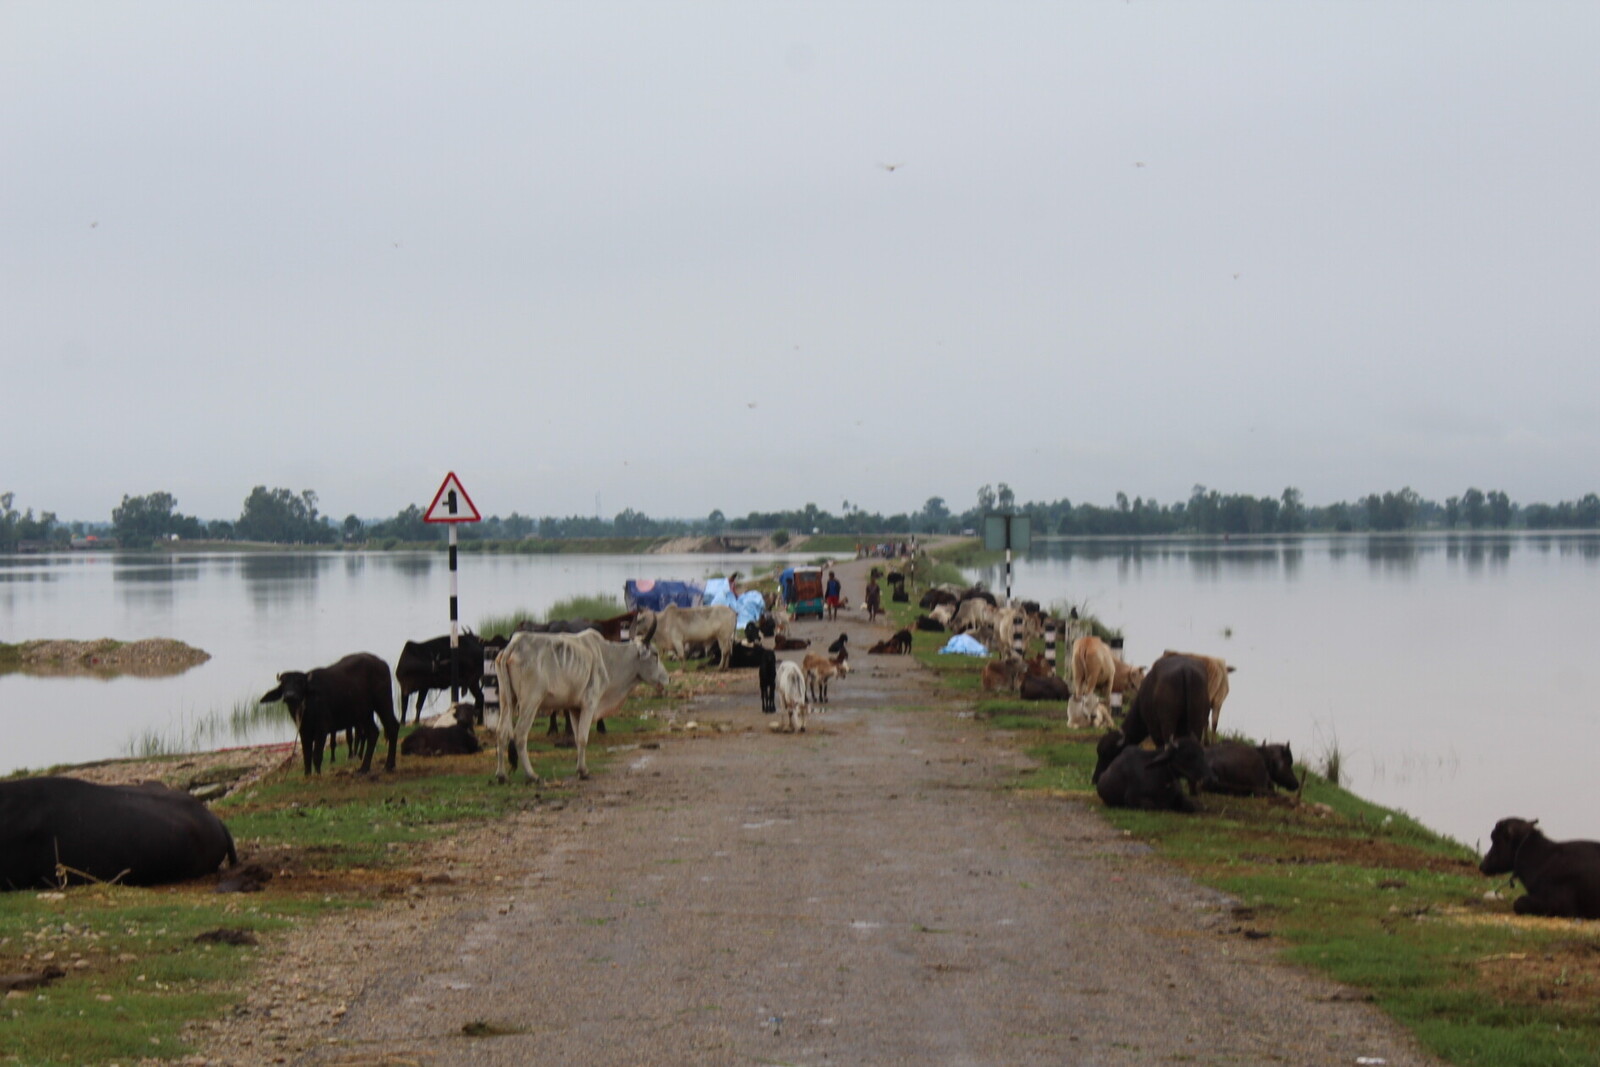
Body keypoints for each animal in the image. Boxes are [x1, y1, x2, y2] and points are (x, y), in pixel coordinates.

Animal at [262, 652, 400, 777]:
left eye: (299, 683)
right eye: (284, 684)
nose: (290, 695)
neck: (306, 710)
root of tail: (382, 663)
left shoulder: (322, 729)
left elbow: (317, 755)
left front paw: (318, 774)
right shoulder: (303, 731)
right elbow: (306, 755)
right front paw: (307, 775)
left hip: (383, 702)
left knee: (392, 726)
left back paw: (388, 765)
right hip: (364, 714)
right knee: (373, 732)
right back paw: (364, 769)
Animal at [492, 627, 668, 783]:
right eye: (655, 654)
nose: (667, 678)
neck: (607, 657)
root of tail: (513, 645)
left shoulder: (574, 708)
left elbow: (577, 738)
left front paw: (580, 769)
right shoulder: (589, 704)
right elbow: (583, 738)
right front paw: (583, 772)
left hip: (507, 700)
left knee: (501, 732)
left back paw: (501, 775)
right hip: (530, 702)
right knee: (520, 734)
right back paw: (531, 775)